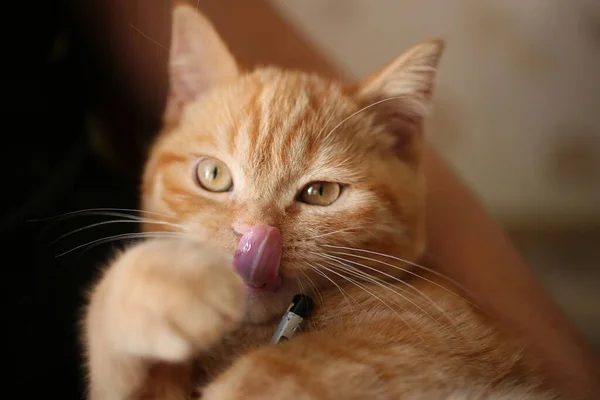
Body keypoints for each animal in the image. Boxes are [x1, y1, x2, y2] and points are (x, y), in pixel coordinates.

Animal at [82, 3, 556, 400]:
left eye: (320, 193)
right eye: (213, 175)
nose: (255, 236)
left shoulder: (442, 341)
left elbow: (289, 371)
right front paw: (165, 287)